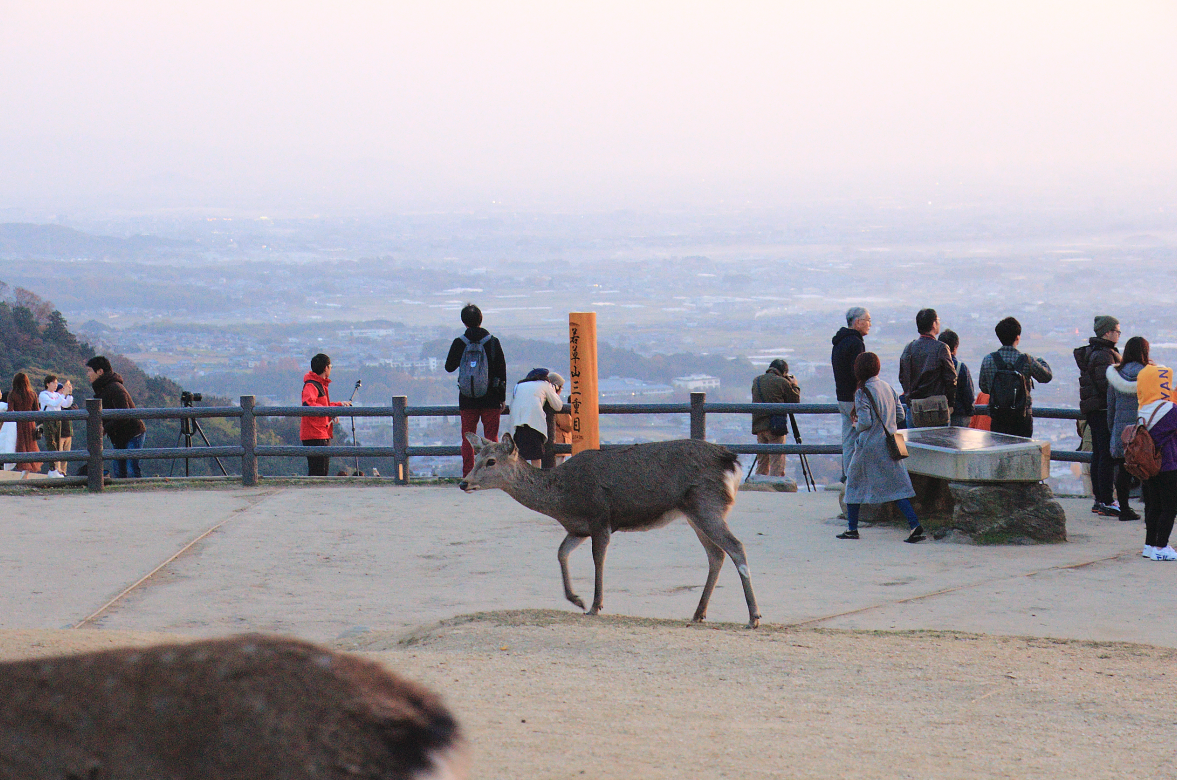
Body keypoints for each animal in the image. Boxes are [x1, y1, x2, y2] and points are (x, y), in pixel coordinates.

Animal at [454, 435, 757, 630]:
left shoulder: (600, 518)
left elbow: (597, 560)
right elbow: (561, 553)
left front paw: (594, 605)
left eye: (491, 461)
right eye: (477, 456)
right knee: (716, 554)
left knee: (736, 546)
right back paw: (698, 613)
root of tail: (731, 462)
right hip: (694, 513)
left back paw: (753, 617)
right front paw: (576, 599)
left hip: (706, 504)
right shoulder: (578, 529)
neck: (563, 499)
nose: (463, 483)